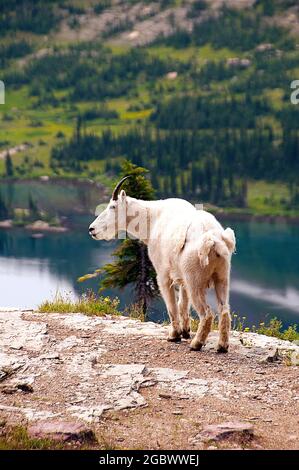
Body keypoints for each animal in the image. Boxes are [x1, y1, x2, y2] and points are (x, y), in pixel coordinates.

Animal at [89, 176, 237, 352]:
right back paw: (222, 346)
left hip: (195, 280)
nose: (92, 229)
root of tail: (214, 240)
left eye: (113, 206)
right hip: (221, 276)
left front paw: (174, 335)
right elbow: (182, 303)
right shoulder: (182, 278)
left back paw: (196, 344)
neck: (153, 219)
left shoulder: (163, 275)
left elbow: (172, 306)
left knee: (207, 313)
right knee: (224, 310)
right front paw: (185, 331)